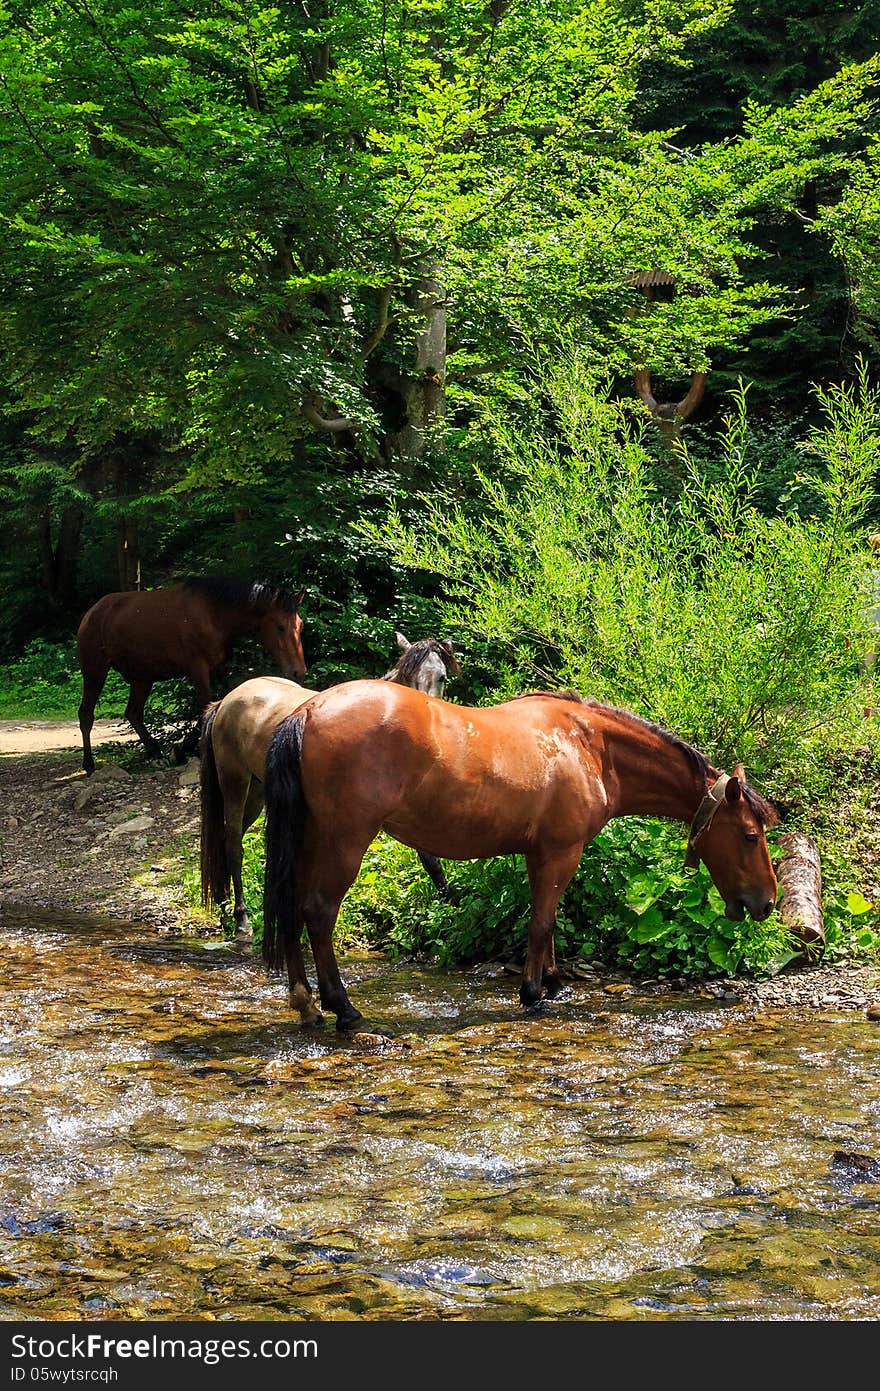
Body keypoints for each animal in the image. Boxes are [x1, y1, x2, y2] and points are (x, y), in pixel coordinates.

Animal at [76, 573, 308, 778]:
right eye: (280, 627)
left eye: (300, 625)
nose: (298, 671)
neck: (213, 613)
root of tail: (91, 613)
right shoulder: (198, 669)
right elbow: (204, 708)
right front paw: (181, 750)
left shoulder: (216, 669)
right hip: (95, 671)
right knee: (86, 714)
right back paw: (89, 764)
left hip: (142, 678)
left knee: (133, 713)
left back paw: (156, 753)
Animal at [198, 634, 458, 934]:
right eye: (409, 676)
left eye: (442, 677)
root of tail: (226, 701)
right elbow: (428, 858)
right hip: (234, 783)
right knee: (232, 844)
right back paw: (240, 917)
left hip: (257, 791)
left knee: (228, 841)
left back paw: (223, 909)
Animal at [258, 678, 772, 1029]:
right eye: (750, 835)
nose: (766, 902)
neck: (589, 746)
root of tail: (308, 711)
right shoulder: (562, 851)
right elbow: (542, 921)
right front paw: (532, 993)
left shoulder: (539, 852)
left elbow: (548, 919)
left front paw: (553, 981)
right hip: (345, 840)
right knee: (318, 911)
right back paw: (342, 1008)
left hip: (310, 839)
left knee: (291, 907)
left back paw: (305, 1003)